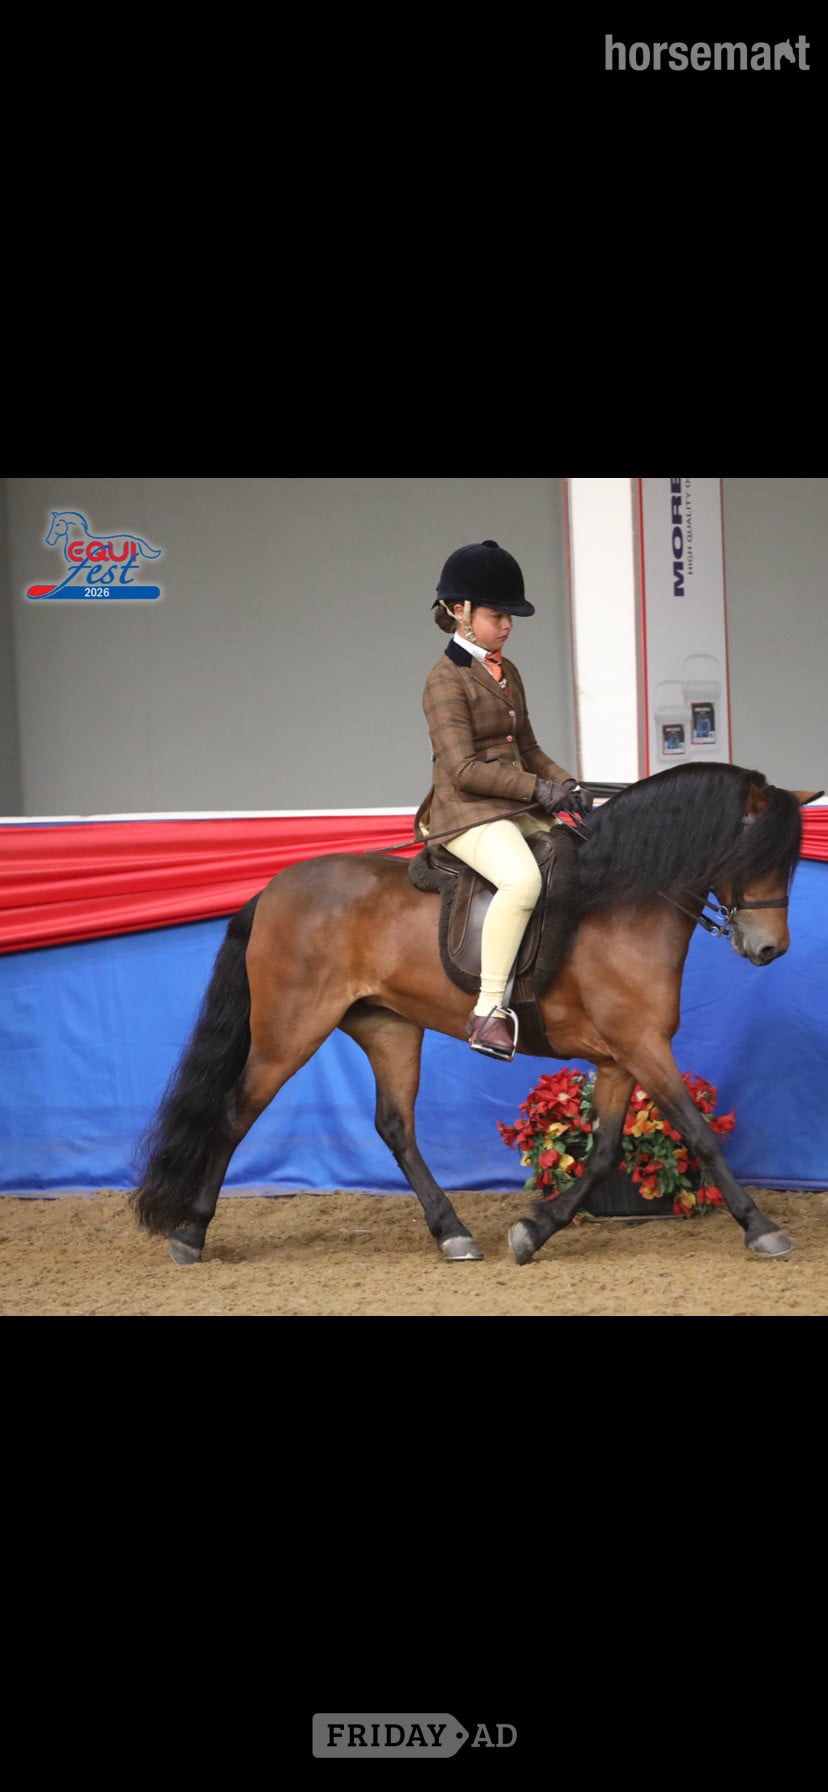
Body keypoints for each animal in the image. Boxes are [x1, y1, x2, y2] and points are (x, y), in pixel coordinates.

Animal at [130, 762, 821, 1269]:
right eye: (753, 851)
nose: (770, 949)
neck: (620, 900)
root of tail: (273, 890)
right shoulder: (643, 1046)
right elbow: (699, 1134)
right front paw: (763, 1227)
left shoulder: (622, 1055)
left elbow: (603, 1154)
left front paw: (534, 1231)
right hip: (288, 1032)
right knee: (236, 1112)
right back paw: (190, 1235)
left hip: (388, 1027)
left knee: (395, 1127)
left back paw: (453, 1232)